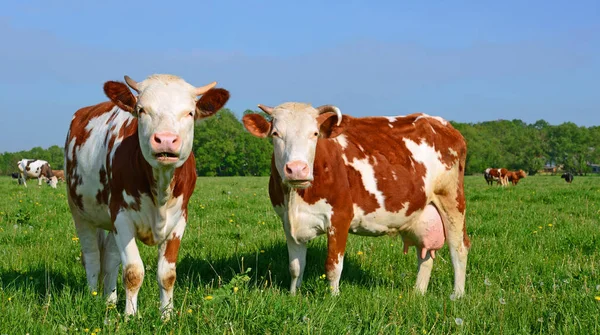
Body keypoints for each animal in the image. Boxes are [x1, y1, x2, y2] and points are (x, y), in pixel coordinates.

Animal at [65, 73, 230, 318]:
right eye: (142, 110)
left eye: (190, 112)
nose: (166, 139)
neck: (160, 188)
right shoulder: (121, 216)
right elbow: (133, 271)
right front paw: (130, 316)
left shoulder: (179, 219)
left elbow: (167, 274)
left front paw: (166, 316)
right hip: (80, 212)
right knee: (92, 256)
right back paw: (93, 296)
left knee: (111, 258)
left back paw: (109, 300)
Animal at [241, 103, 472, 300]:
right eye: (275, 134)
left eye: (314, 133)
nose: (297, 169)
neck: (295, 199)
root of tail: (441, 123)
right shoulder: (288, 222)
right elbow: (295, 266)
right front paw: (293, 296)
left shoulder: (340, 217)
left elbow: (333, 266)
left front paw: (333, 299)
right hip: (422, 211)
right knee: (425, 255)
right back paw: (418, 293)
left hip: (452, 200)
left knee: (458, 247)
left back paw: (457, 295)